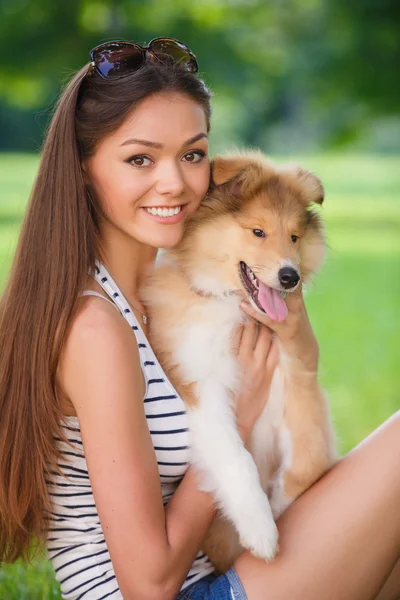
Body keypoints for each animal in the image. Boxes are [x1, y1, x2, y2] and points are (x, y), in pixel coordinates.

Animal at [139, 154, 336, 572]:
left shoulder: (297, 378)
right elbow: (236, 458)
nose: (290, 277)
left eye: (294, 237)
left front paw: (278, 507)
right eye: (258, 231)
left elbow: (309, 459)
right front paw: (261, 532)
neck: (234, 306)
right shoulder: (200, 387)